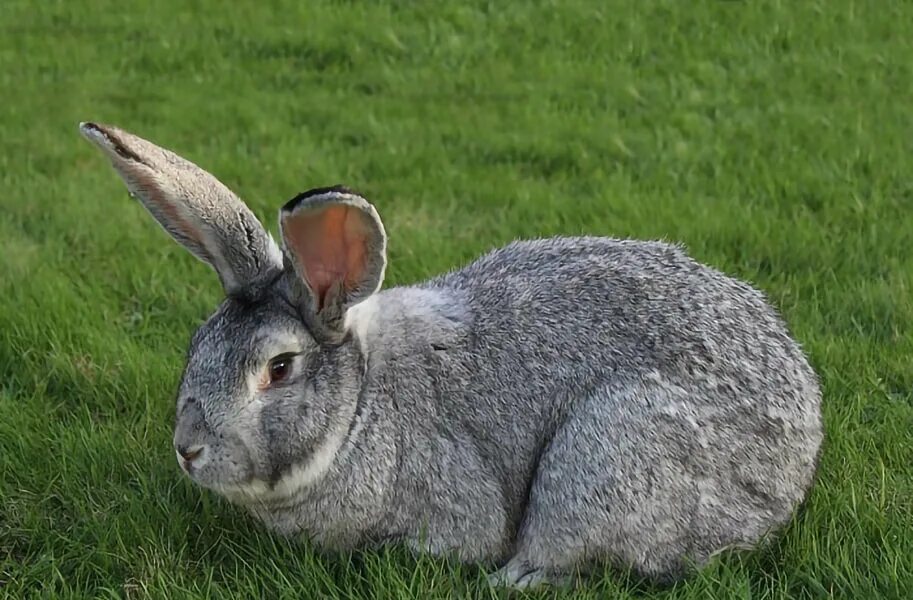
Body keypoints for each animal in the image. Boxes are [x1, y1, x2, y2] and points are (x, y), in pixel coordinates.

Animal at [76, 123, 820, 592]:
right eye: (196, 347)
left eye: (278, 368)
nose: (189, 449)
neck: (361, 407)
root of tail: (797, 460)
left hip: (613, 451)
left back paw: (511, 578)